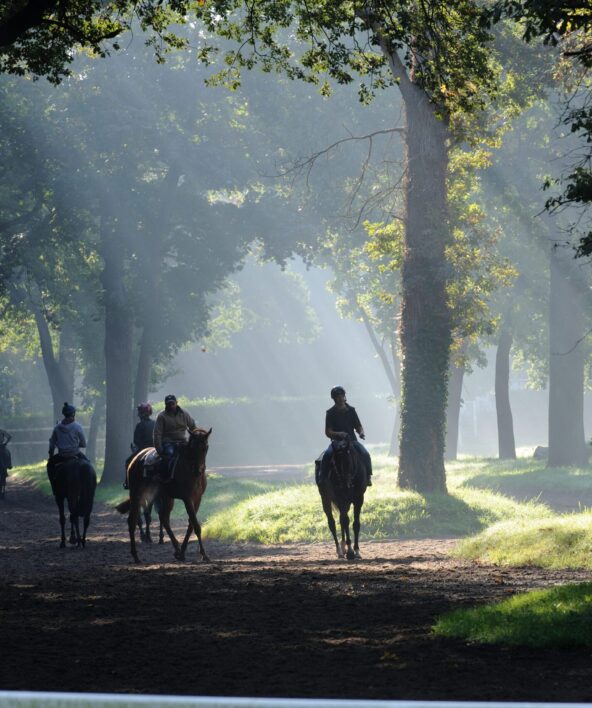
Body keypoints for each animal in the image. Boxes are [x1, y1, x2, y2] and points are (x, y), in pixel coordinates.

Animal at [114, 426, 212, 564]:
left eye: (205, 447)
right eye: (193, 447)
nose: (198, 470)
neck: (189, 470)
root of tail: (136, 459)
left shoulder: (197, 499)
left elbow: (191, 525)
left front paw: (183, 552)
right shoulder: (187, 499)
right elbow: (196, 525)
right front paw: (203, 554)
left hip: (166, 497)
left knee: (164, 518)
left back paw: (176, 550)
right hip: (136, 494)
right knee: (133, 521)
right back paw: (136, 555)